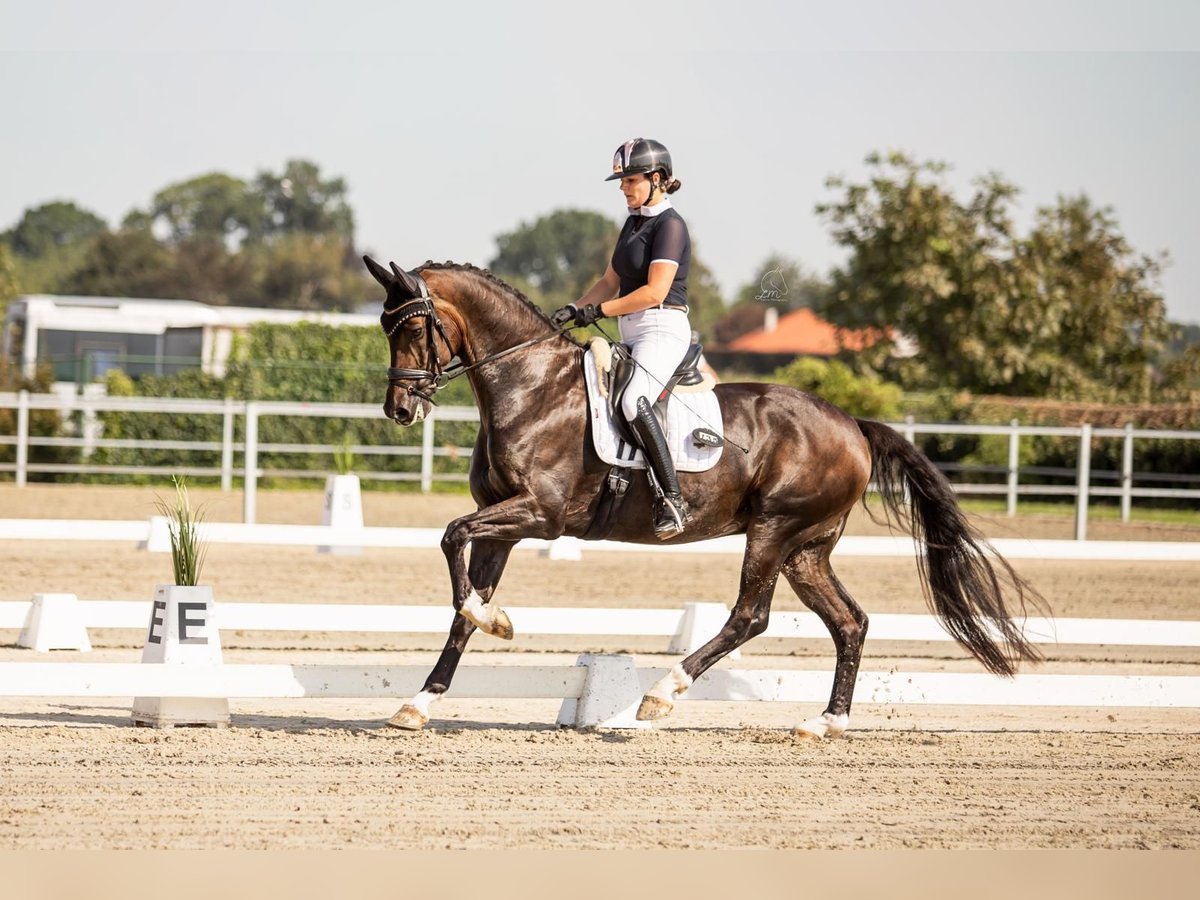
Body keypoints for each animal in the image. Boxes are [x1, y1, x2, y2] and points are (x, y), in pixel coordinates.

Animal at [367, 256, 1051, 734]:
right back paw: (824, 723)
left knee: (751, 615)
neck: (532, 386)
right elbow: (462, 606)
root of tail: (852, 424)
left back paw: (660, 695)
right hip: (806, 549)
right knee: (849, 622)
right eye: (383, 327)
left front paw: (496, 622)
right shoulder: (502, 520)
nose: (399, 409)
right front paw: (418, 702)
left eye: (416, 327)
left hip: (773, 531)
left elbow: (452, 539)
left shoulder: (540, 515)